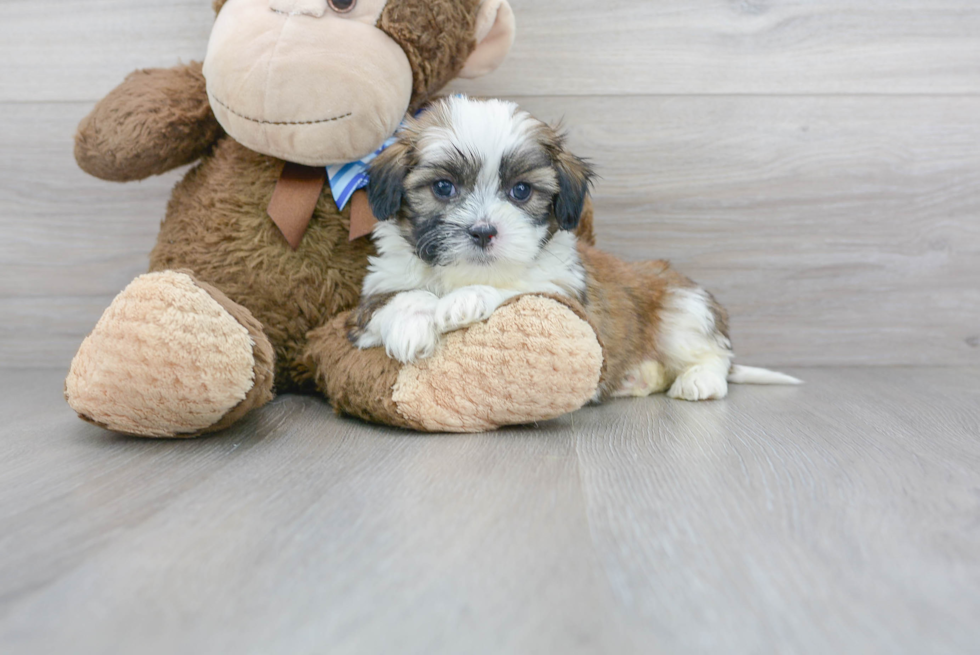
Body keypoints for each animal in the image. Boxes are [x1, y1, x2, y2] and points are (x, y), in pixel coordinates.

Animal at [348, 95, 800, 402]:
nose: (483, 231)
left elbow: (516, 288)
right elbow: (400, 298)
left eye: (521, 191)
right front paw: (412, 324)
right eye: (443, 187)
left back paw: (699, 380)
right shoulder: (372, 299)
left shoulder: (563, 295)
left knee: (713, 354)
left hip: (682, 308)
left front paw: (465, 299)